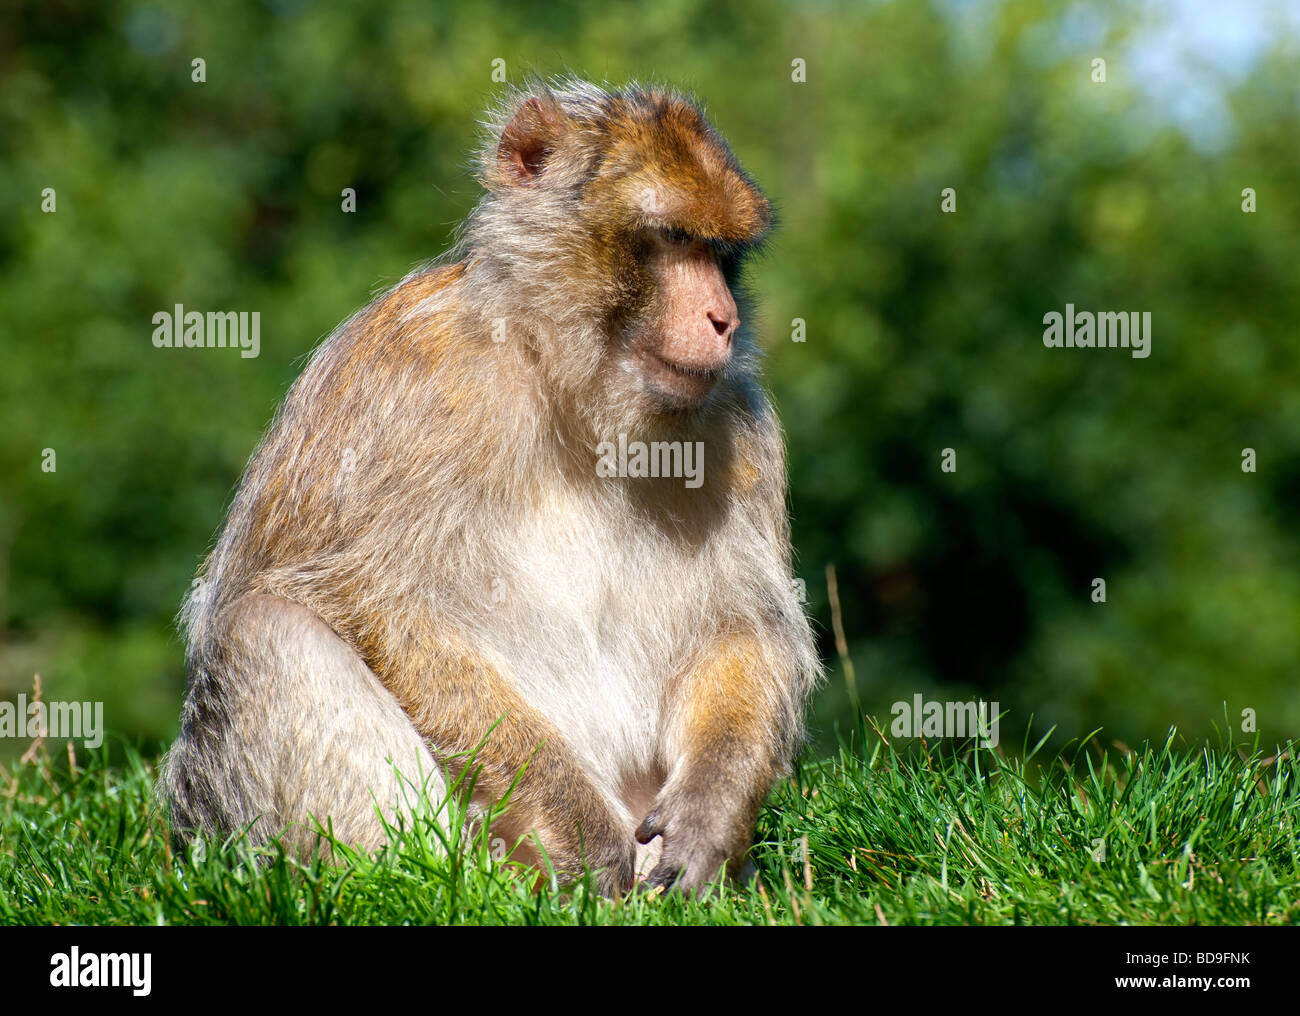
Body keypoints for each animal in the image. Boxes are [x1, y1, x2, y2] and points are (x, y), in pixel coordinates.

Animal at [157, 79, 816, 893]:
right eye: (672, 239)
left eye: (722, 254)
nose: (721, 318)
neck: (567, 386)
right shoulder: (417, 374)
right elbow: (376, 602)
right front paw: (580, 824)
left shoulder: (736, 425)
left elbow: (743, 628)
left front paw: (711, 809)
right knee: (265, 628)